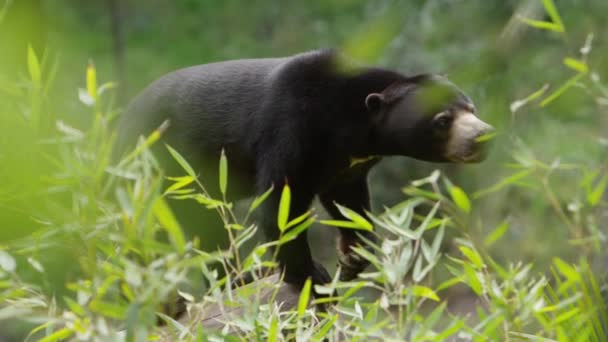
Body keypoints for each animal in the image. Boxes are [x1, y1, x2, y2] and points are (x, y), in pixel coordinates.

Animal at [115, 49, 494, 296]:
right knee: (202, 231)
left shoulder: (346, 165)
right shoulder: (292, 125)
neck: (354, 125)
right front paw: (312, 274)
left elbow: (349, 203)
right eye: (442, 120)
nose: (483, 136)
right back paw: (236, 279)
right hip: (163, 170)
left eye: (471, 108)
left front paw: (353, 256)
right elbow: (281, 202)